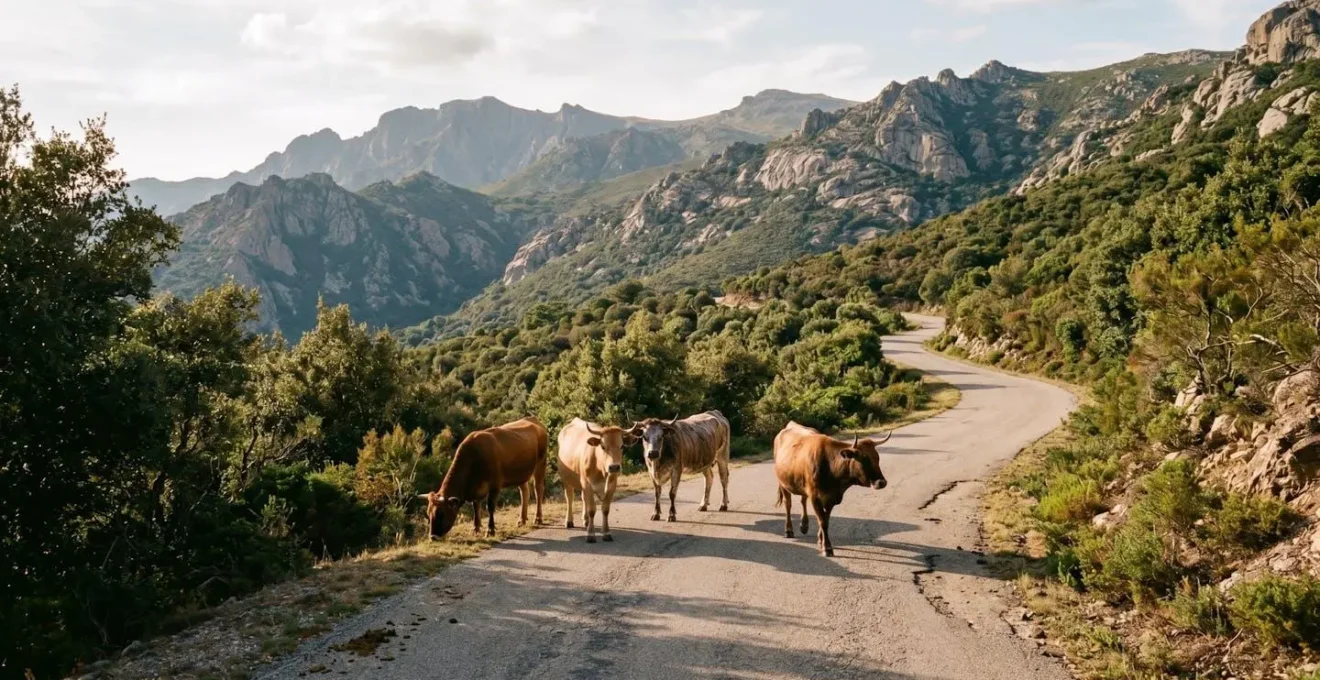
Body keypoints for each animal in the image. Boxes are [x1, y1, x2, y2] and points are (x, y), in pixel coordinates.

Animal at [417, 417, 549, 539]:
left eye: (441, 513)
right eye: (428, 513)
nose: (433, 536)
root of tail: (532, 419)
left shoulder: (495, 486)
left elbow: (490, 507)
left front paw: (490, 530)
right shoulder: (476, 489)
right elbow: (476, 507)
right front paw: (476, 528)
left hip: (541, 463)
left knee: (538, 489)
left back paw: (538, 518)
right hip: (521, 473)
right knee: (524, 491)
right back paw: (522, 520)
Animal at [773, 421, 891, 557]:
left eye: (877, 458)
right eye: (864, 459)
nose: (882, 482)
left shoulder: (831, 498)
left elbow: (826, 520)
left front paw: (820, 541)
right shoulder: (815, 497)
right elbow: (822, 521)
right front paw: (827, 547)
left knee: (803, 500)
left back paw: (804, 525)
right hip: (783, 484)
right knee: (788, 504)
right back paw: (788, 530)